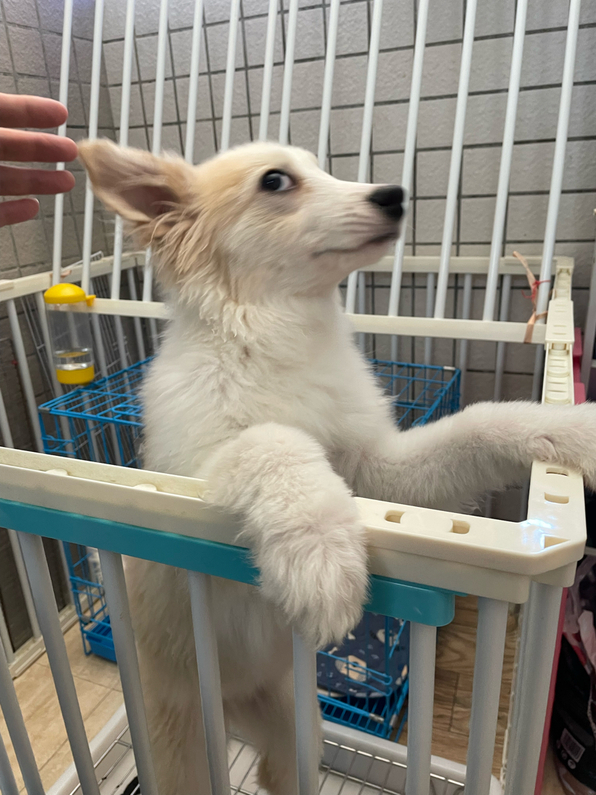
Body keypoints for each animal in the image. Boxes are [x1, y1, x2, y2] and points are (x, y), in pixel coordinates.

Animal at [79, 139, 596, 795]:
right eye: (275, 181)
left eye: (322, 167)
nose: (395, 195)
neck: (278, 337)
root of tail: (234, 702)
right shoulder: (191, 482)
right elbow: (271, 441)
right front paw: (322, 552)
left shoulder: (381, 471)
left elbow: (479, 425)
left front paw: (574, 431)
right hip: (181, 746)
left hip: (295, 730)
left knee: (282, 769)